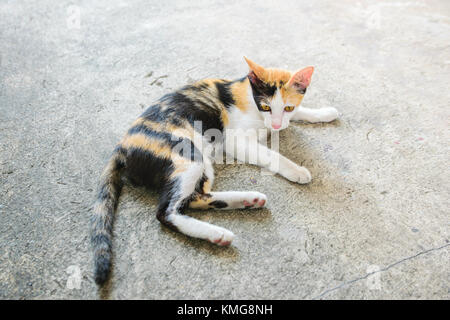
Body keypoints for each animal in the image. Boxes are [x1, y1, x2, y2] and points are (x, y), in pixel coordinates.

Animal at [90, 57, 338, 284]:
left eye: (287, 107)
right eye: (266, 106)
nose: (276, 125)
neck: (249, 97)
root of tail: (122, 147)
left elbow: (300, 112)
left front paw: (324, 113)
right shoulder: (236, 141)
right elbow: (273, 155)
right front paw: (297, 170)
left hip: (203, 161)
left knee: (195, 197)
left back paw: (247, 200)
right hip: (189, 154)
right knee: (166, 212)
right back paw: (218, 233)